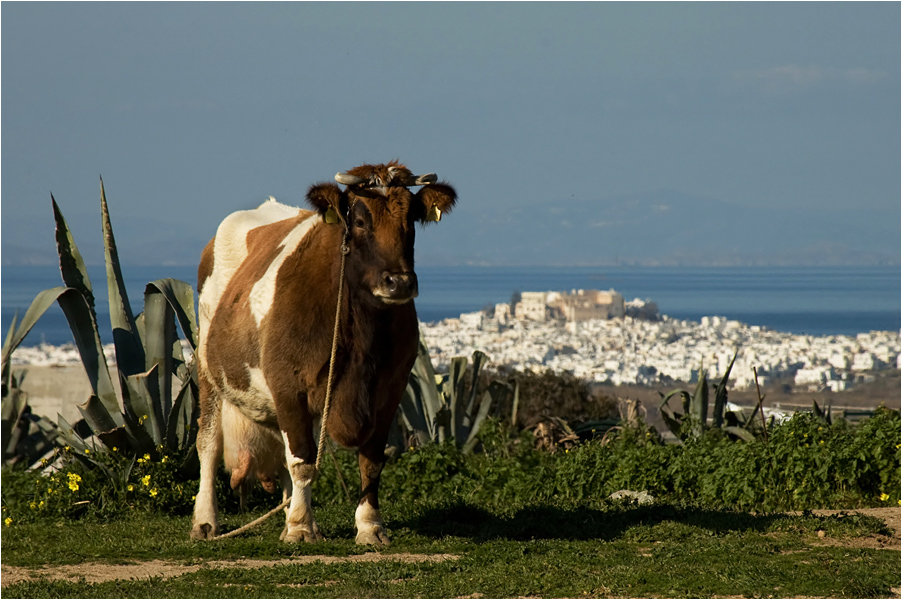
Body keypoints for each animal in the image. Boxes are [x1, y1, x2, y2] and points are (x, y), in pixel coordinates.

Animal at [192, 162, 460, 548]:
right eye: (359, 221)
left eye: (411, 219)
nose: (399, 282)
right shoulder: (288, 385)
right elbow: (302, 460)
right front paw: (301, 527)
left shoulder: (390, 389)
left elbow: (371, 461)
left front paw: (369, 526)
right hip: (207, 367)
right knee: (209, 443)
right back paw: (205, 520)